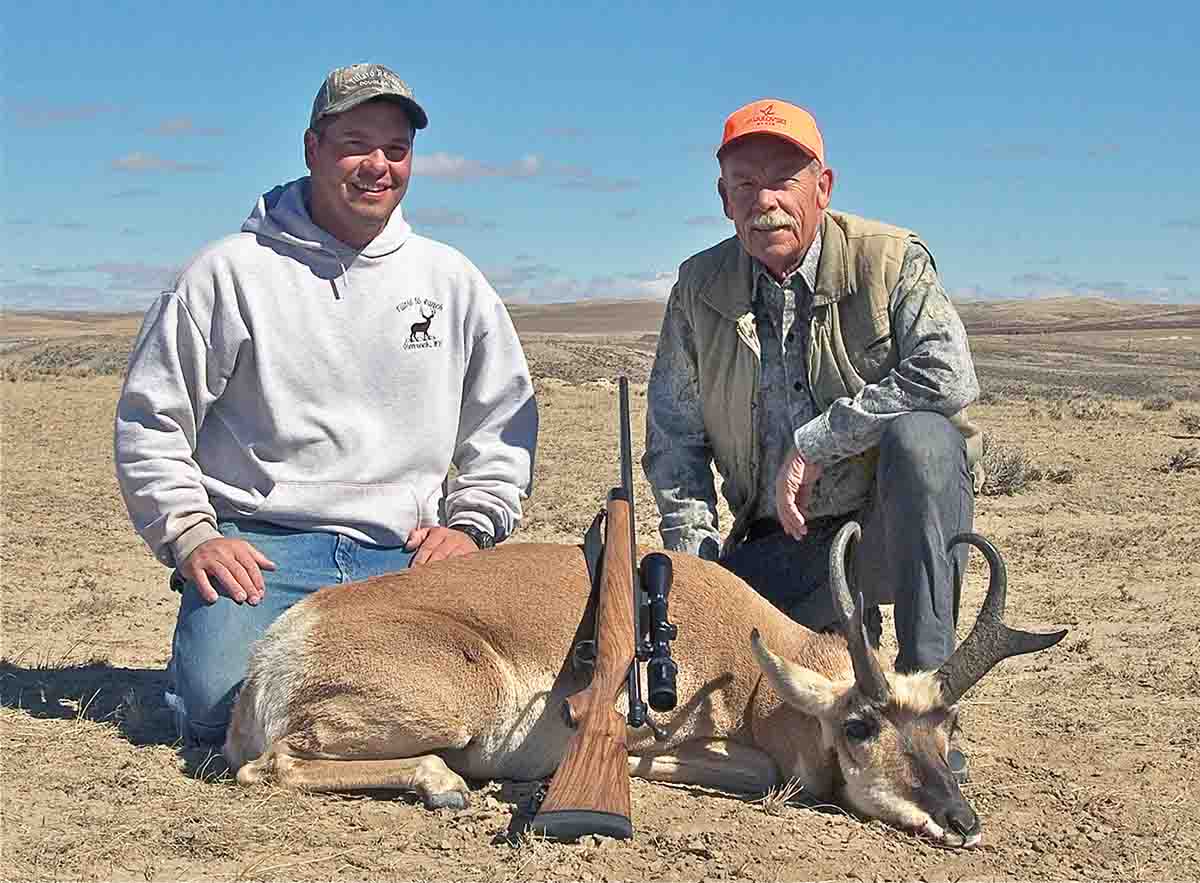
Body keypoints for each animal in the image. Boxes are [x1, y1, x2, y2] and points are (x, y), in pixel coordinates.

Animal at [225, 520, 1070, 844]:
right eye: (860, 725)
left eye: (949, 727)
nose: (963, 819)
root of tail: (276, 647)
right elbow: (760, 770)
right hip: (457, 704)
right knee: (270, 765)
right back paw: (448, 784)